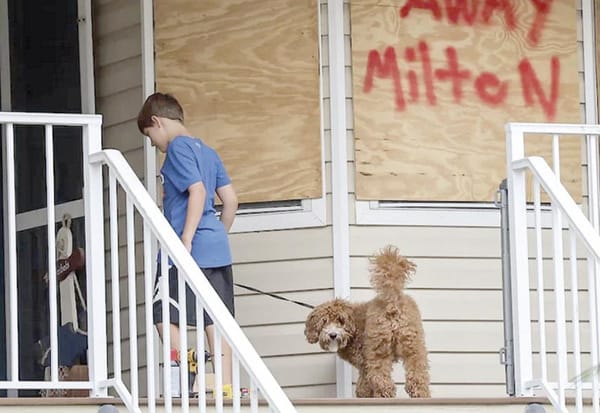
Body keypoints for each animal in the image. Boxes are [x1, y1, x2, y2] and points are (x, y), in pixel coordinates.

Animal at [304, 245, 432, 396]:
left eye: (340, 321)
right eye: (324, 322)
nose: (333, 335)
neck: (352, 330)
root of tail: (393, 300)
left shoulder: (364, 363)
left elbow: (363, 387)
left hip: (378, 348)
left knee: (383, 380)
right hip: (412, 342)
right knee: (418, 373)